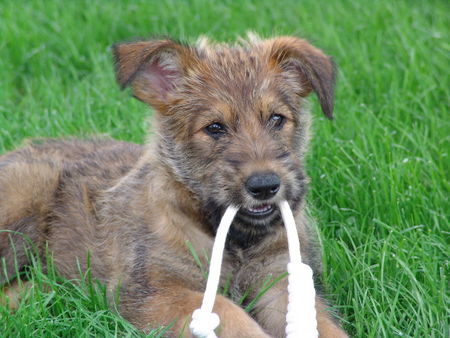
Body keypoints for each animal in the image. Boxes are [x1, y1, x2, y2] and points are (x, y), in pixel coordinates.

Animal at [0, 35, 346, 338]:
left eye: (276, 119)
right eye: (215, 128)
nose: (264, 186)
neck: (234, 241)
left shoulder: (280, 282)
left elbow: (321, 325)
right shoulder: (155, 291)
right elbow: (230, 315)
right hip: (29, 189)